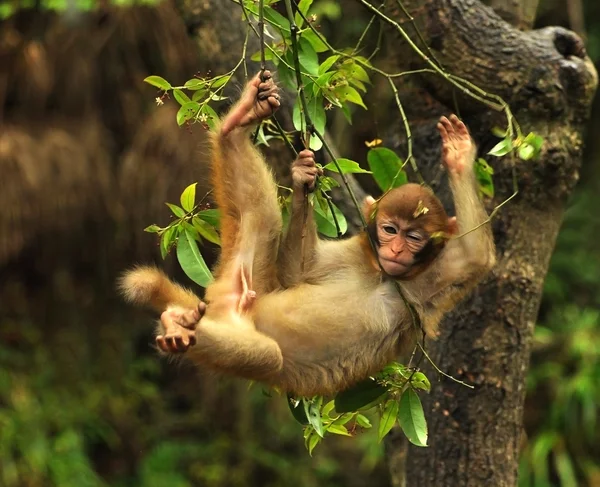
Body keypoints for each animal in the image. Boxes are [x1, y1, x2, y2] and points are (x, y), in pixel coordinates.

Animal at [119, 70, 494, 398]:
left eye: (413, 237)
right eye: (390, 230)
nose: (397, 250)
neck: (382, 274)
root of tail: (221, 307)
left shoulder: (427, 283)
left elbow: (475, 256)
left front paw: (460, 159)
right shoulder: (353, 252)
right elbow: (297, 272)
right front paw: (302, 179)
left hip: (236, 296)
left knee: (267, 351)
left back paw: (178, 327)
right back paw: (237, 125)